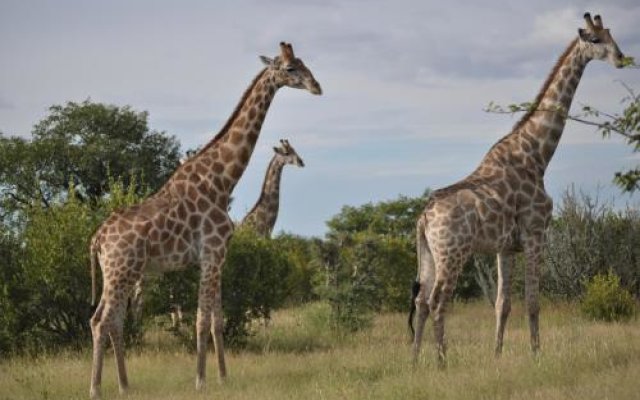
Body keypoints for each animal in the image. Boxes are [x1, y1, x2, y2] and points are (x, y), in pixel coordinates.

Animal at [87, 42, 322, 398]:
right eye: (290, 68)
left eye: (304, 63)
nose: (317, 87)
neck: (222, 181)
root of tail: (98, 238)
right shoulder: (210, 254)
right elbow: (200, 319)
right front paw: (200, 380)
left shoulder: (218, 258)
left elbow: (217, 320)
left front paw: (223, 377)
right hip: (121, 271)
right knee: (103, 321)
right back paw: (96, 389)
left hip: (120, 273)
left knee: (107, 319)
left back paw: (125, 385)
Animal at [410, 11, 624, 362]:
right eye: (595, 39)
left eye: (611, 34)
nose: (621, 58)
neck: (537, 155)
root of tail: (423, 217)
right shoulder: (536, 234)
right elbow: (533, 303)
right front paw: (537, 355)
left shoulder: (505, 247)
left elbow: (503, 304)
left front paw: (497, 355)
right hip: (452, 253)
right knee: (439, 301)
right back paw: (442, 362)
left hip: (428, 253)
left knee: (422, 301)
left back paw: (415, 361)